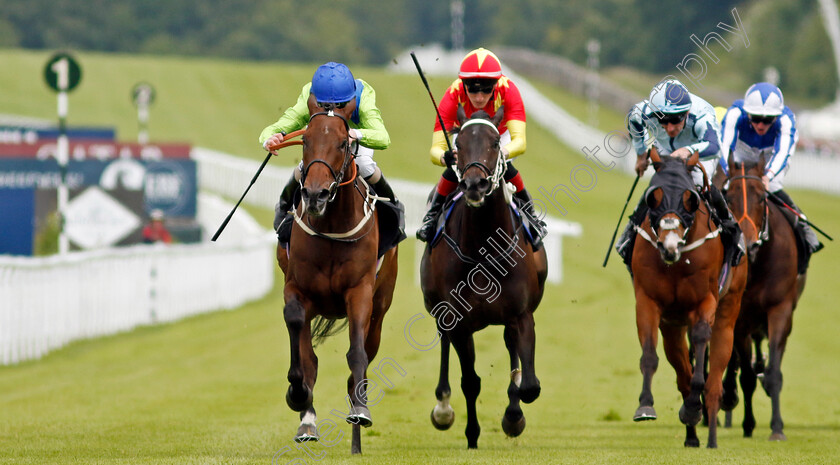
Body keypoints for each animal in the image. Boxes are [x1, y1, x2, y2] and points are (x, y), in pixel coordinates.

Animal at [278, 97, 398, 454]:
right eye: (304, 140)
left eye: (343, 143)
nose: (315, 194)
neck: (331, 225)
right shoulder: (297, 289)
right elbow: (301, 346)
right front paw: (298, 397)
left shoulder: (359, 292)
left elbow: (357, 353)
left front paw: (360, 411)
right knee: (311, 357)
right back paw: (307, 421)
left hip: (380, 309)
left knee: (365, 356)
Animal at [420, 107, 552, 448]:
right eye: (458, 143)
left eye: (495, 142)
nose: (475, 184)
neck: (483, 250)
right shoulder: (459, 322)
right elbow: (470, 381)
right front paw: (471, 434)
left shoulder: (521, 314)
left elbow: (528, 385)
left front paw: (513, 417)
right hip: (440, 312)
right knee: (444, 343)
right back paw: (442, 407)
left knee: (511, 349)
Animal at [632, 149, 744, 446]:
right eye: (653, 196)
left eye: (689, 199)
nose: (669, 246)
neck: (677, 259)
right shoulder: (648, 301)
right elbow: (649, 354)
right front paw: (645, 405)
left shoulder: (705, 301)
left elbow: (701, 340)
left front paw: (695, 405)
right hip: (672, 324)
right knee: (681, 369)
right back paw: (691, 434)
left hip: (728, 311)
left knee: (714, 378)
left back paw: (709, 433)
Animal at [720, 154, 804, 440]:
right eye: (729, 197)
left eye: (760, 198)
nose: (747, 243)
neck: (758, 264)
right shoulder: (741, 317)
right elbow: (744, 374)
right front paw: (747, 423)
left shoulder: (781, 309)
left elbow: (774, 372)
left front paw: (777, 427)